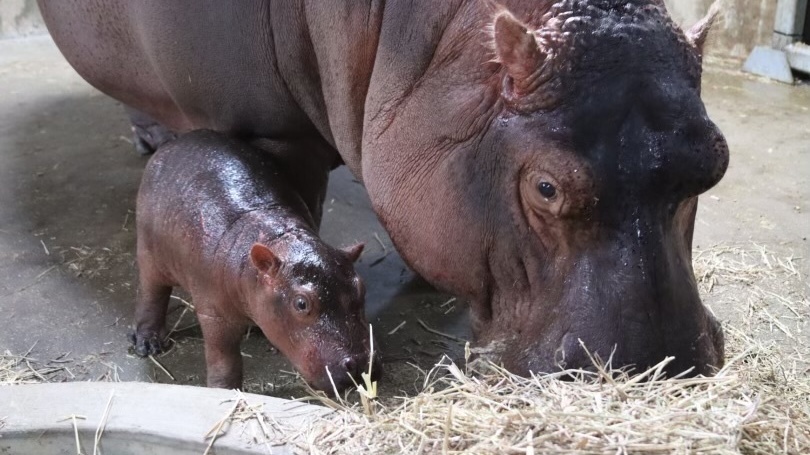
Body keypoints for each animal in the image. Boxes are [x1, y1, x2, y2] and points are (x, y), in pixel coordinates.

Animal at [132, 130, 375, 392]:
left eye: (361, 287)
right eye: (301, 303)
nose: (360, 364)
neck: (277, 238)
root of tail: (173, 144)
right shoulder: (214, 313)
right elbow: (224, 357)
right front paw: (224, 389)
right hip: (149, 253)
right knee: (152, 293)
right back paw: (147, 344)